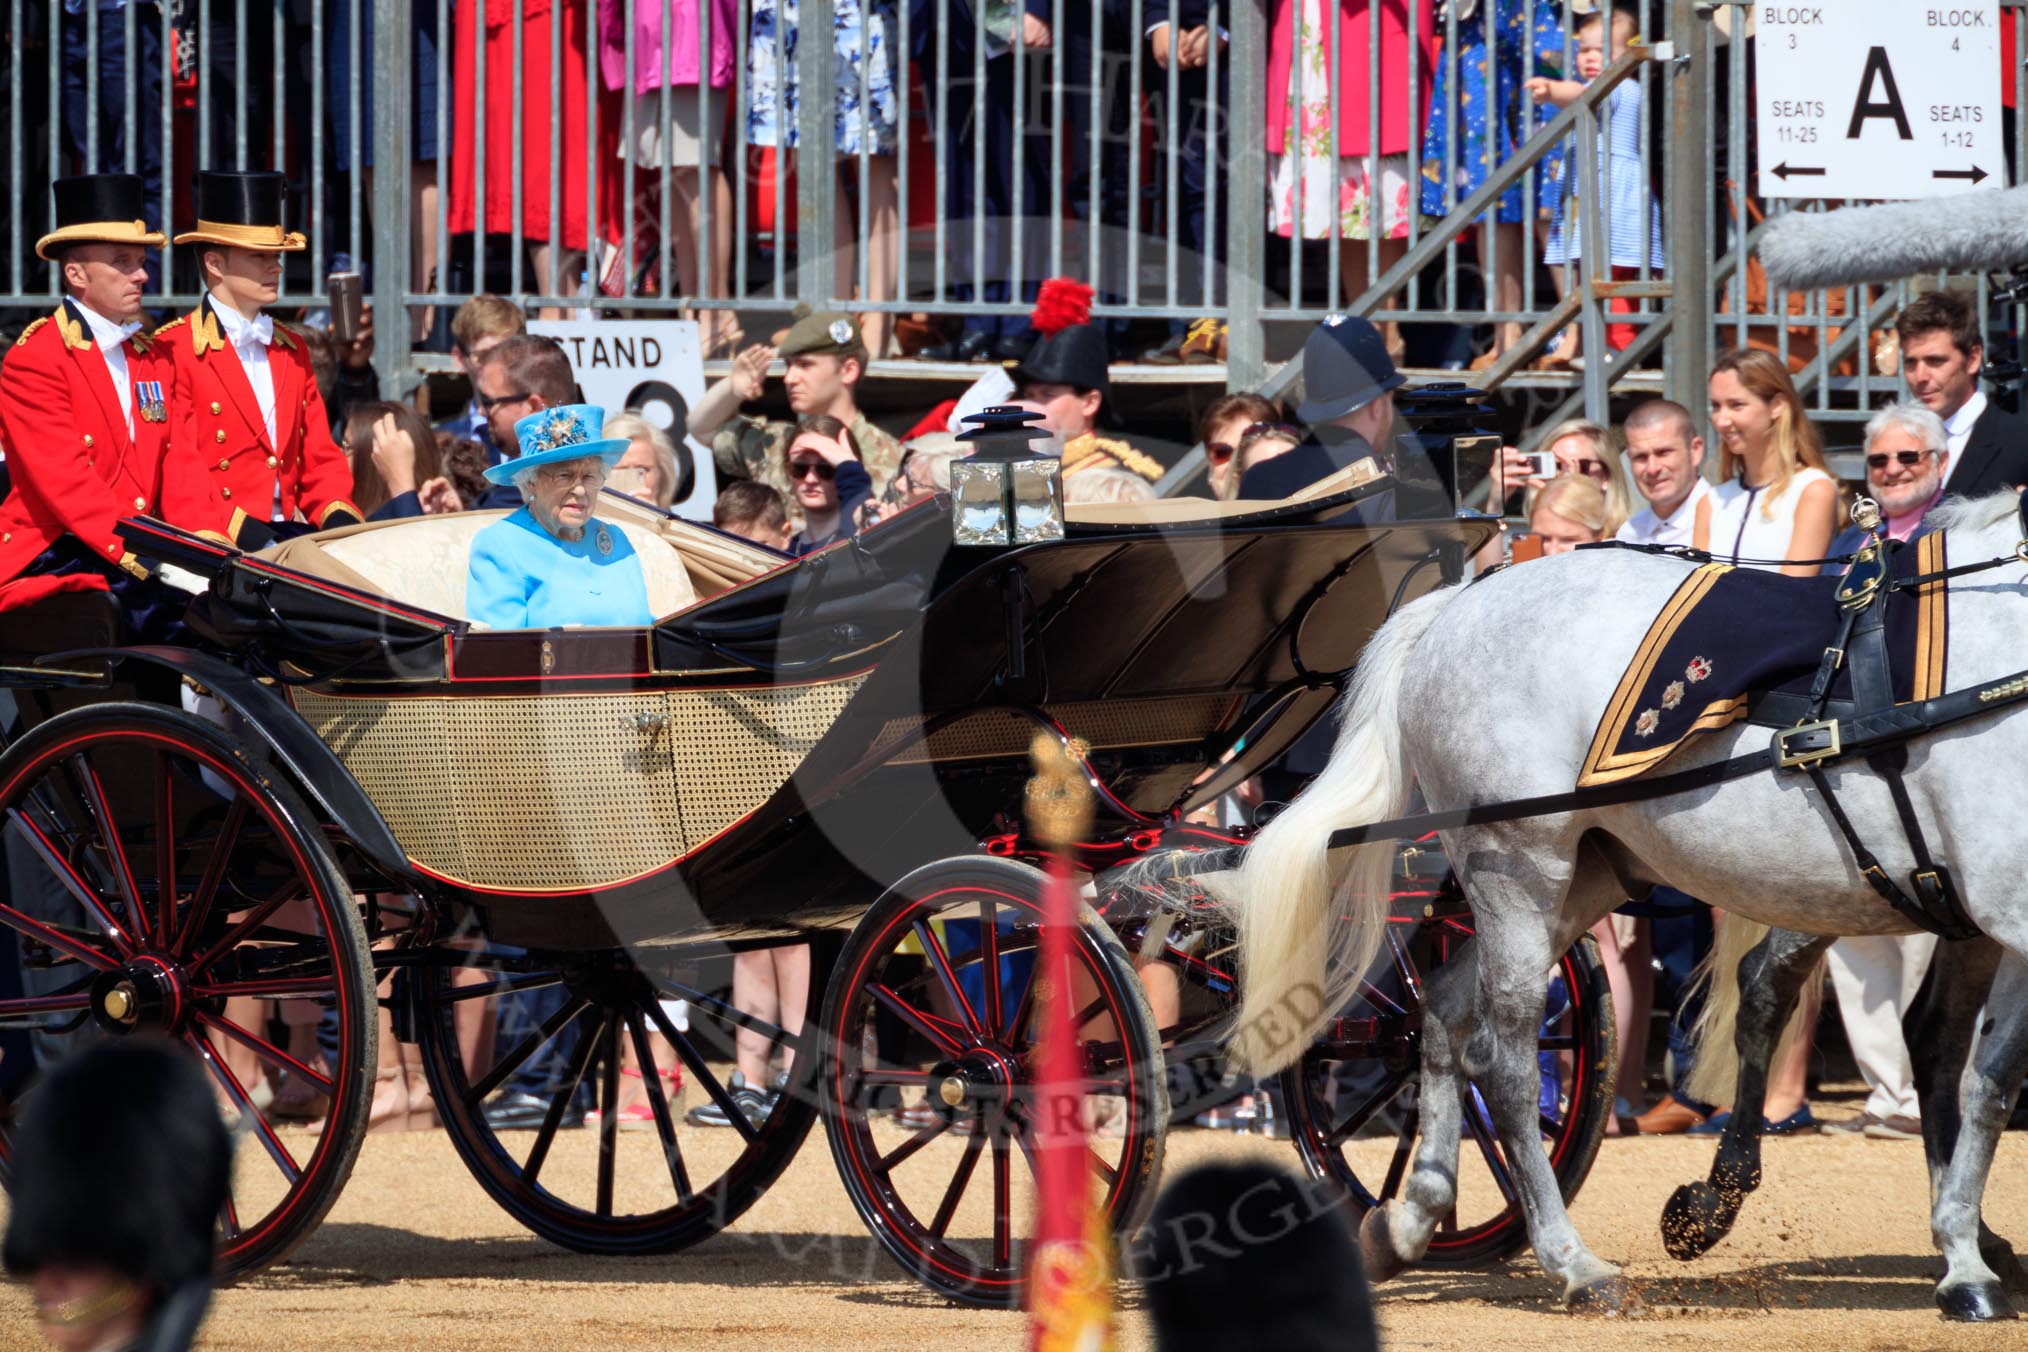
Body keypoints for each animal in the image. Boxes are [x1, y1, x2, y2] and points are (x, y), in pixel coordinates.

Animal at [1224, 488, 2028, 1321]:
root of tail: (1462, 599)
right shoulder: (2008, 912)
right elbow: (1987, 1076)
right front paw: (1964, 1260)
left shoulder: (1984, 918)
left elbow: (1984, 1074)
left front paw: (1965, 1249)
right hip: (1519, 872)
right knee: (1504, 1063)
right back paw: (1574, 1263)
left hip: (1588, 879)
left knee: (1443, 1010)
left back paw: (1413, 1217)